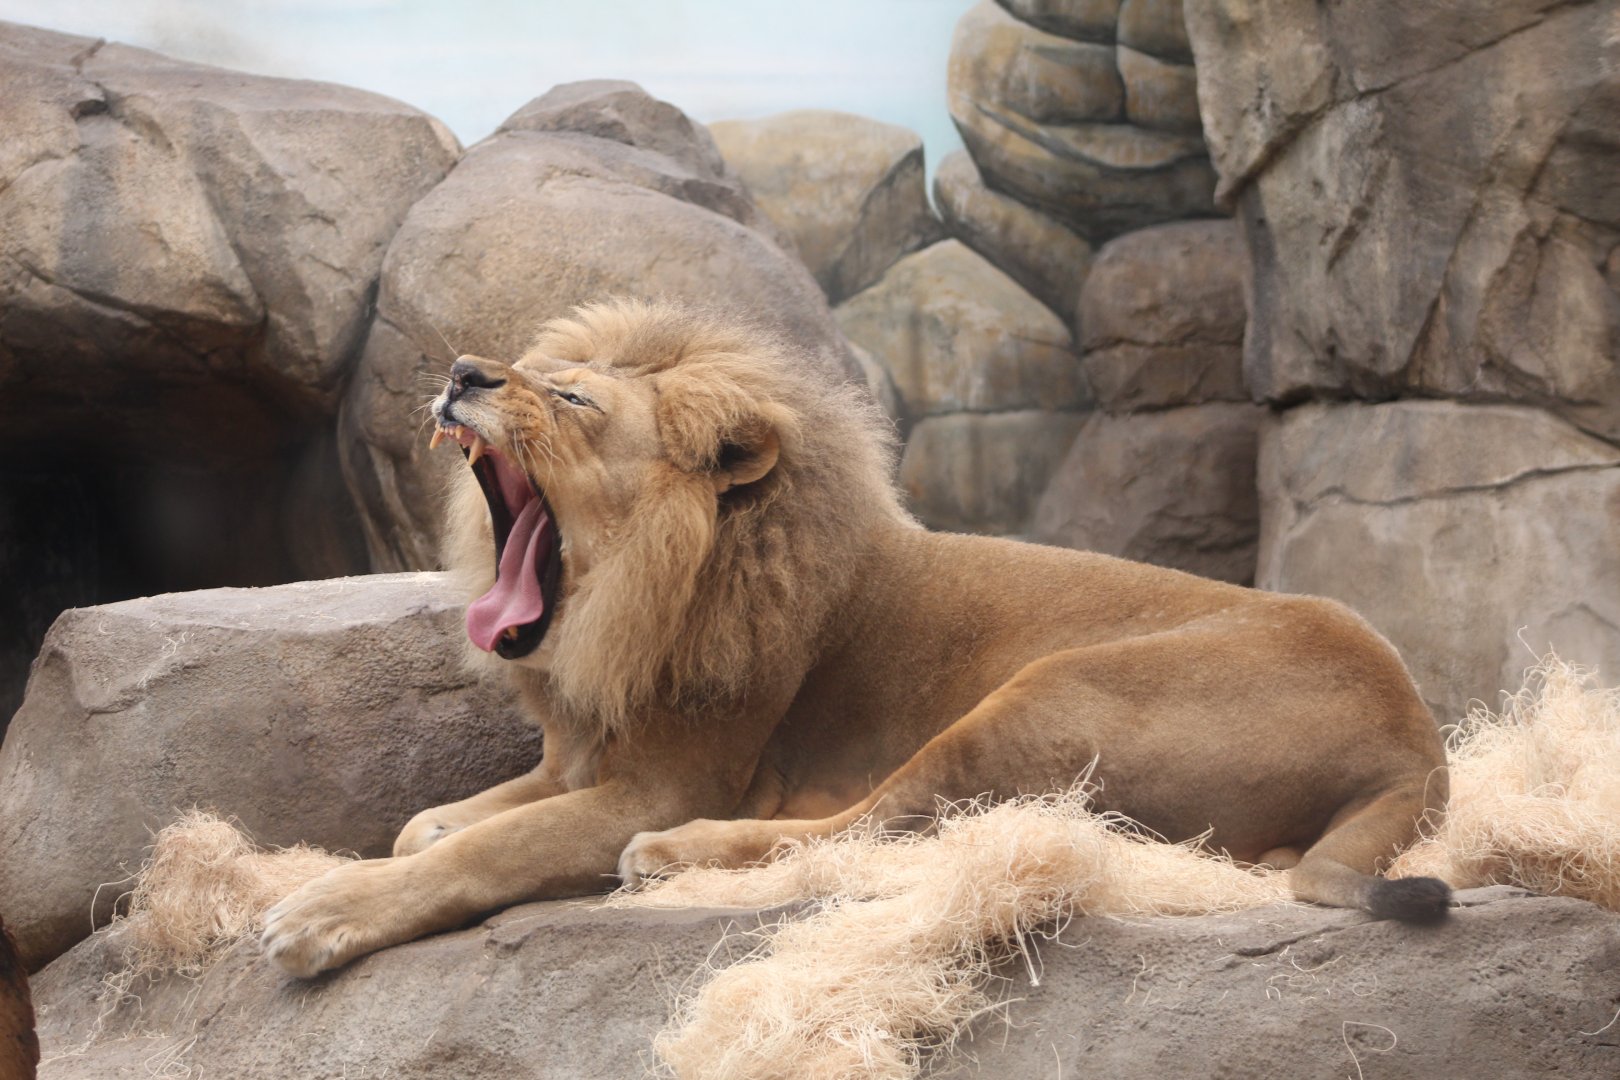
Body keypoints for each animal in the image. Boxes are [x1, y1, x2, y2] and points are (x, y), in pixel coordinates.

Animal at [261, 299, 1450, 977]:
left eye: (570, 397)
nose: (464, 371)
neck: (622, 605)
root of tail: (1418, 744)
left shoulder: (665, 781)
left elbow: (485, 850)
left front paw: (323, 911)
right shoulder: (581, 758)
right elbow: (435, 824)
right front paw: (406, 842)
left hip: (1049, 691)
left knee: (877, 824)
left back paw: (677, 858)